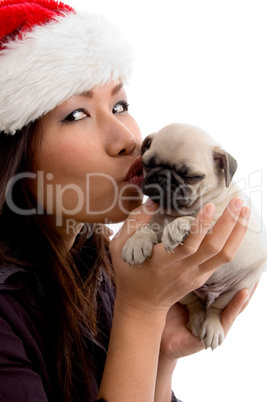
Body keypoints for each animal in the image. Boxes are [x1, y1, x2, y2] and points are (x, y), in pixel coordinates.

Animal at [123, 124, 267, 350]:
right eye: (147, 164)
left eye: (191, 176)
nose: (162, 178)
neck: (173, 211)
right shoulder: (156, 219)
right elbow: (148, 228)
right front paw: (136, 242)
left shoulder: (224, 221)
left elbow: (199, 220)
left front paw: (178, 226)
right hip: (181, 291)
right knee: (194, 303)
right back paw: (198, 319)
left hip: (241, 286)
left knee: (217, 308)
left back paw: (212, 326)